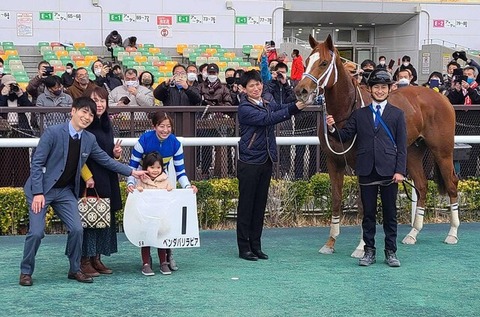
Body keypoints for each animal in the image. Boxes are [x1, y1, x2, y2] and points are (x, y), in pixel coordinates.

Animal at [294, 34, 460, 256]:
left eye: (323, 63)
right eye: (306, 61)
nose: (301, 90)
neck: (345, 114)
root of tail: (441, 97)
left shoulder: (361, 165)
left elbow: (364, 204)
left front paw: (361, 246)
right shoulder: (333, 161)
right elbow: (336, 198)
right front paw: (330, 242)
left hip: (442, 151)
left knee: (451, 184)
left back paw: (452, 233)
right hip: (412, 152)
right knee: (422, 186)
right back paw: (413, 234)